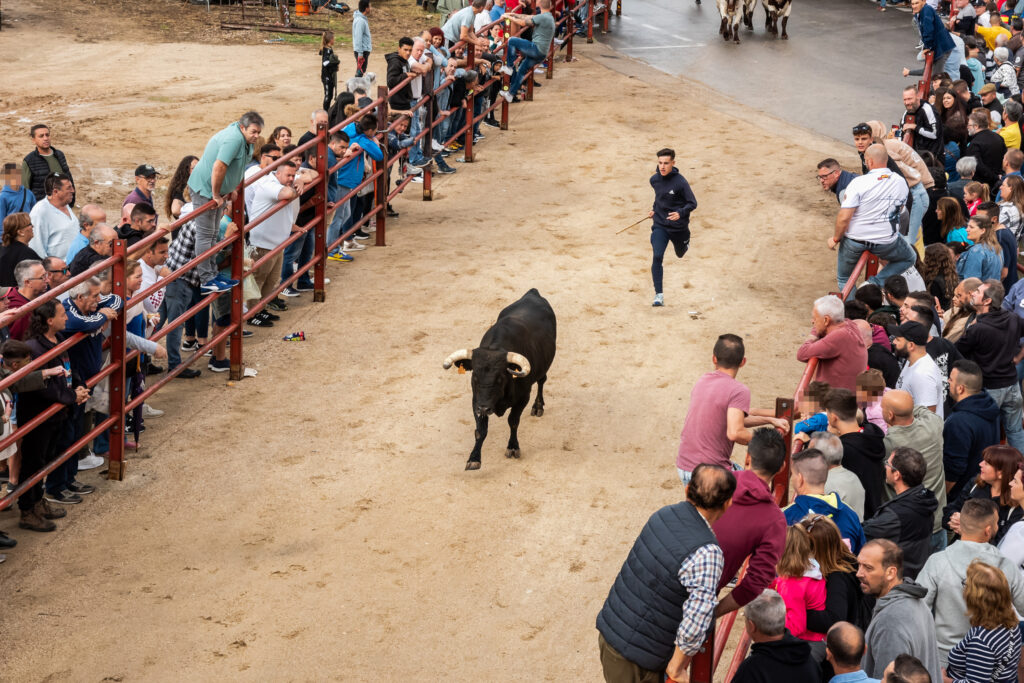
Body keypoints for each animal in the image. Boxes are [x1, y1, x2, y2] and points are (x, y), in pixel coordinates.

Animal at [442, 288, 557, 471]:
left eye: (500, 378)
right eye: (474, 376)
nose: (485, 408)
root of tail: (533, 293)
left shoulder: (523, 398)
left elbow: (513, 421)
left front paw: (513, 447)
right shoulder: (477, 400)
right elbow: (480, 430)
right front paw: (474, 458)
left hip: (544, 368)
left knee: (541, 381)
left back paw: (538, 407)